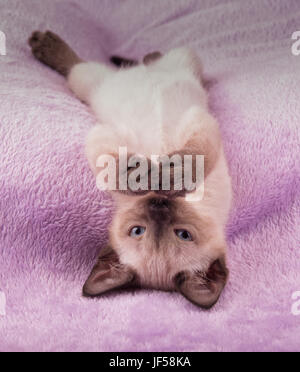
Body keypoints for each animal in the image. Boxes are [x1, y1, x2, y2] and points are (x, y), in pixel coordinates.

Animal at [28, 30, 232, 308]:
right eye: (137, 231)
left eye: (183, 234)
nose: (158, 204)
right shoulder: (109, 135)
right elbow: (117, 166)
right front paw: (146, 175)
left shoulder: (200, 122)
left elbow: (196, 155)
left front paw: (170, 175)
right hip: (158, 65)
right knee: (109, 62)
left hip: (120, 73)